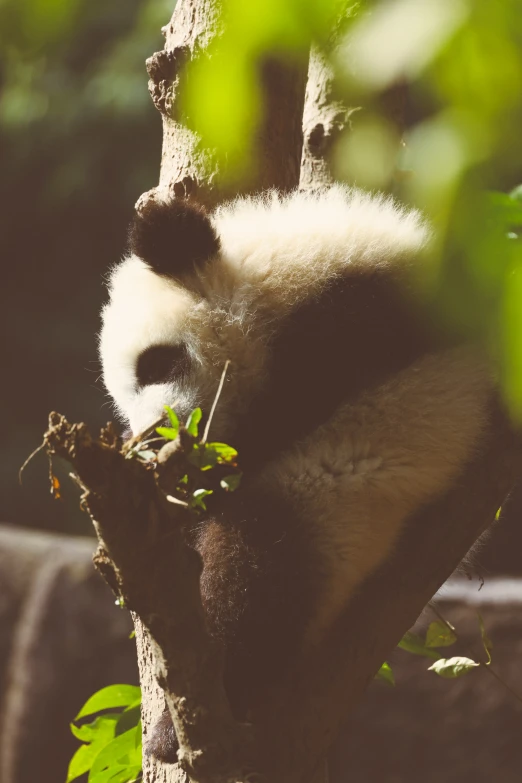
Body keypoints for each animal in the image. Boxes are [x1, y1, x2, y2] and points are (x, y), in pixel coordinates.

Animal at [98, 184, 492, 760]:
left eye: (156, 363)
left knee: (261, 568)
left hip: (341, 498)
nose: (152, 441)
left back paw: (181, 726)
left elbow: (292, 407)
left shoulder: (365, 310)